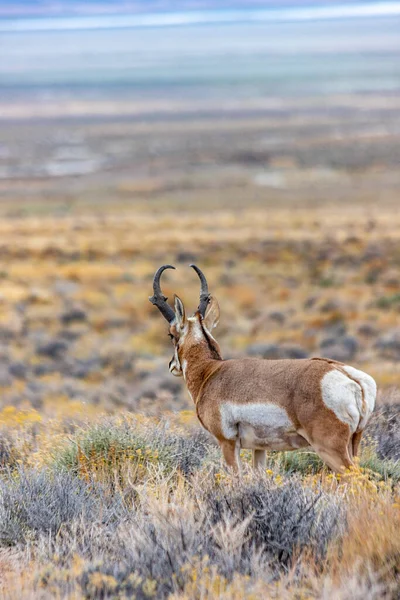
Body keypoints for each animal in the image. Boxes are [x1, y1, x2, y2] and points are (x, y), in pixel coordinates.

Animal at [148, 266, 376, 474]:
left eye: (171, 334)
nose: (171, 366)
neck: (211, 372)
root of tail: (350, 377)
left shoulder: (227, 443)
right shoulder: (259, 449)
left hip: (330, 449)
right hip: (353, 444)